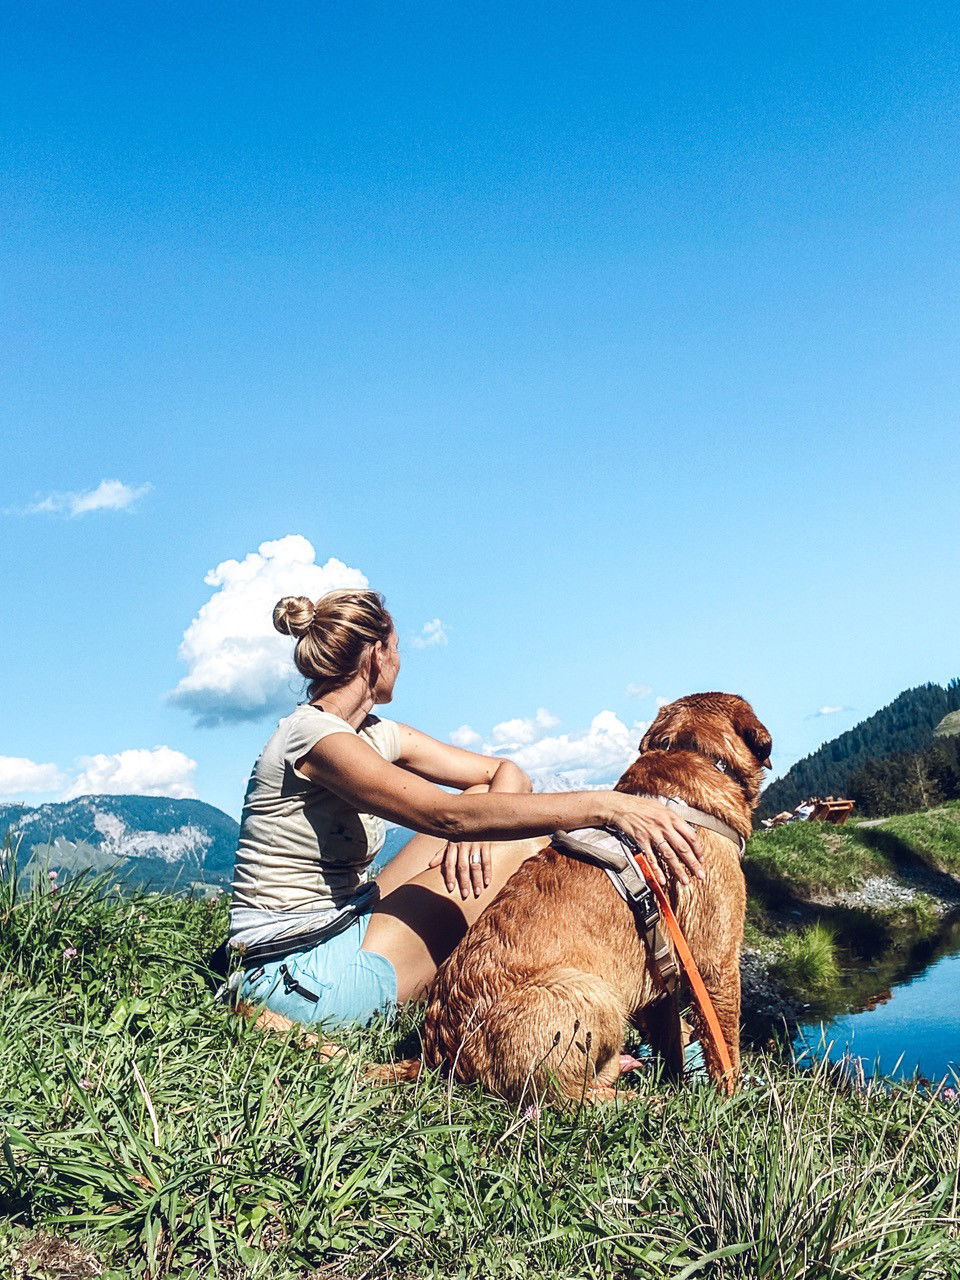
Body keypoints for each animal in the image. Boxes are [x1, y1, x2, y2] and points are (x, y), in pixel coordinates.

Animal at [417, 696, 773, 1105]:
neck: (690, 751)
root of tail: (442, 1057)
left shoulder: (660, 979)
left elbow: (672, 1037)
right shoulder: (715, 960)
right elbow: (724, 1043)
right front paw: (731, 1098)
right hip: (589, 992)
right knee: (571, 1098)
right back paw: (642, 1101)